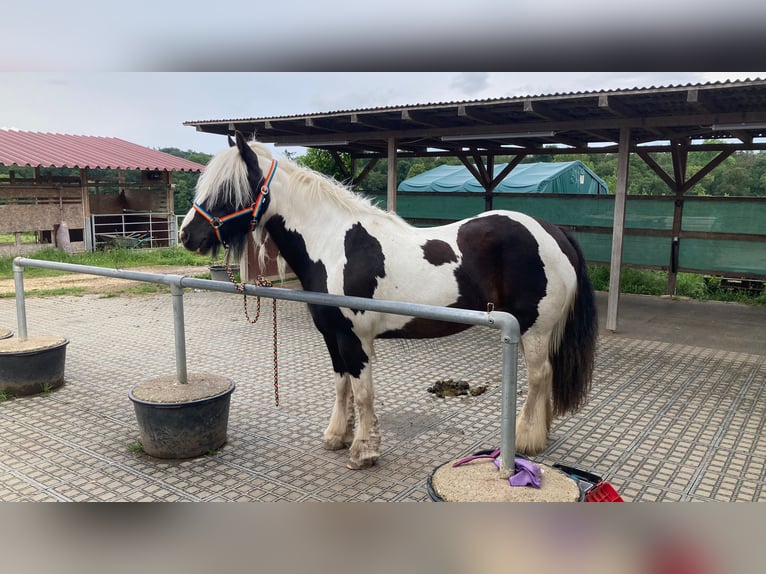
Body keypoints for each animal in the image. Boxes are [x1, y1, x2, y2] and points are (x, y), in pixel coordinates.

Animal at [179, 132, 598, 470]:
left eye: (228, 191)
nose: (186, 235)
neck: (333, 244)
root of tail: (553, 231)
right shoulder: (332, 335)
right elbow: (342, 386)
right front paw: (337, 436)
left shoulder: (357, 339)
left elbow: (363, 392)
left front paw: (363, 452)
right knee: (545, 378)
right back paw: (540, 433)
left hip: (534, 329)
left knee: (539, 377)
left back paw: (526, 439)